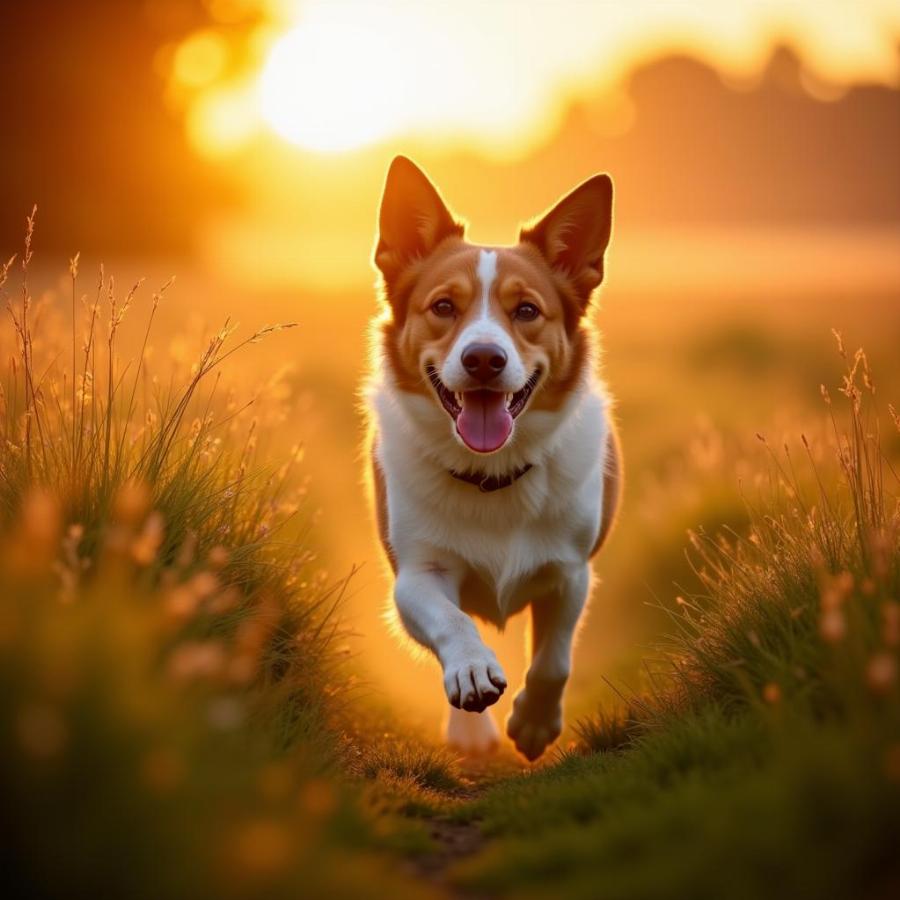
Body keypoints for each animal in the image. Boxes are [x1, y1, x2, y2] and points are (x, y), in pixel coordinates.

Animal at [364, 156, 620, 760]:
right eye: (443, 307)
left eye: (526, 311)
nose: (484, 358)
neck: (492, 472)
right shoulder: (415, 575)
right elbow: (454, 622)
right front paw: (473, 673)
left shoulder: (570, 573)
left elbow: (554, 661)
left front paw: (534, 724)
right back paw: (470, 731)